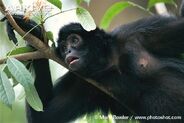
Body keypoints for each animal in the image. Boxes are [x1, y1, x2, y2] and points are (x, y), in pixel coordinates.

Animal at [2, 1, 184, 123]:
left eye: (74, 41)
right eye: (63, 47)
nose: (68, 51)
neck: (110, 61)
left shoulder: (138, 32)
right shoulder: (81, 82)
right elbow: (43, 117)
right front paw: (34, 34)